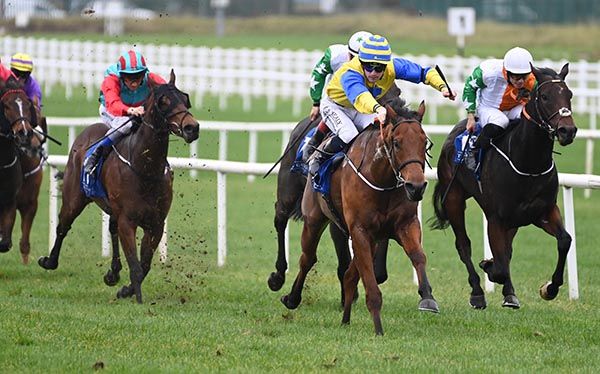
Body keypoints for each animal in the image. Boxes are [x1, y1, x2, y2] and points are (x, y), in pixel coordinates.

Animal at [38, 71, 200, 304]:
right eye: (164, 101)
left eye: (185, 98)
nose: (191, 128)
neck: (145, 170)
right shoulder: (128, 220)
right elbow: (136, 266)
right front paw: (137, 298)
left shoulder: (155, 223)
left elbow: (145, 265)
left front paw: (126, 290)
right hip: (74, 198)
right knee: (63, 226)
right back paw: (50, 261)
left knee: (111, 228)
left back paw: (113, 273)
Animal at [282, 98, 436, 334]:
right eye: (397, 143)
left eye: (424, 143)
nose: (416, 186)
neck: (381, 178)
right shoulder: (360, 230)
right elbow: (371, 286)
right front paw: (379, 329)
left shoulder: (405, 224)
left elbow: (418, 256)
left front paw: (427, 298)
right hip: (314, 220)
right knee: (307, 259)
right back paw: (292, 298)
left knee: (348, 275)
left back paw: (345, 319)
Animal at [432, 64, 576, 310]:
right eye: (545, 97)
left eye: (570, 95)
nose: (568, 131)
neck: (529, 164)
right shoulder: (496, 218)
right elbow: (498, 267)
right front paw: (488, 266)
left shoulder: (543, 211)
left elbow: (564, 240)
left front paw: (550, 288)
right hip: (454, 199)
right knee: (463, 245)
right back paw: (477, 292)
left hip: (513, 220)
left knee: (506, 251)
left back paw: (510, 294)